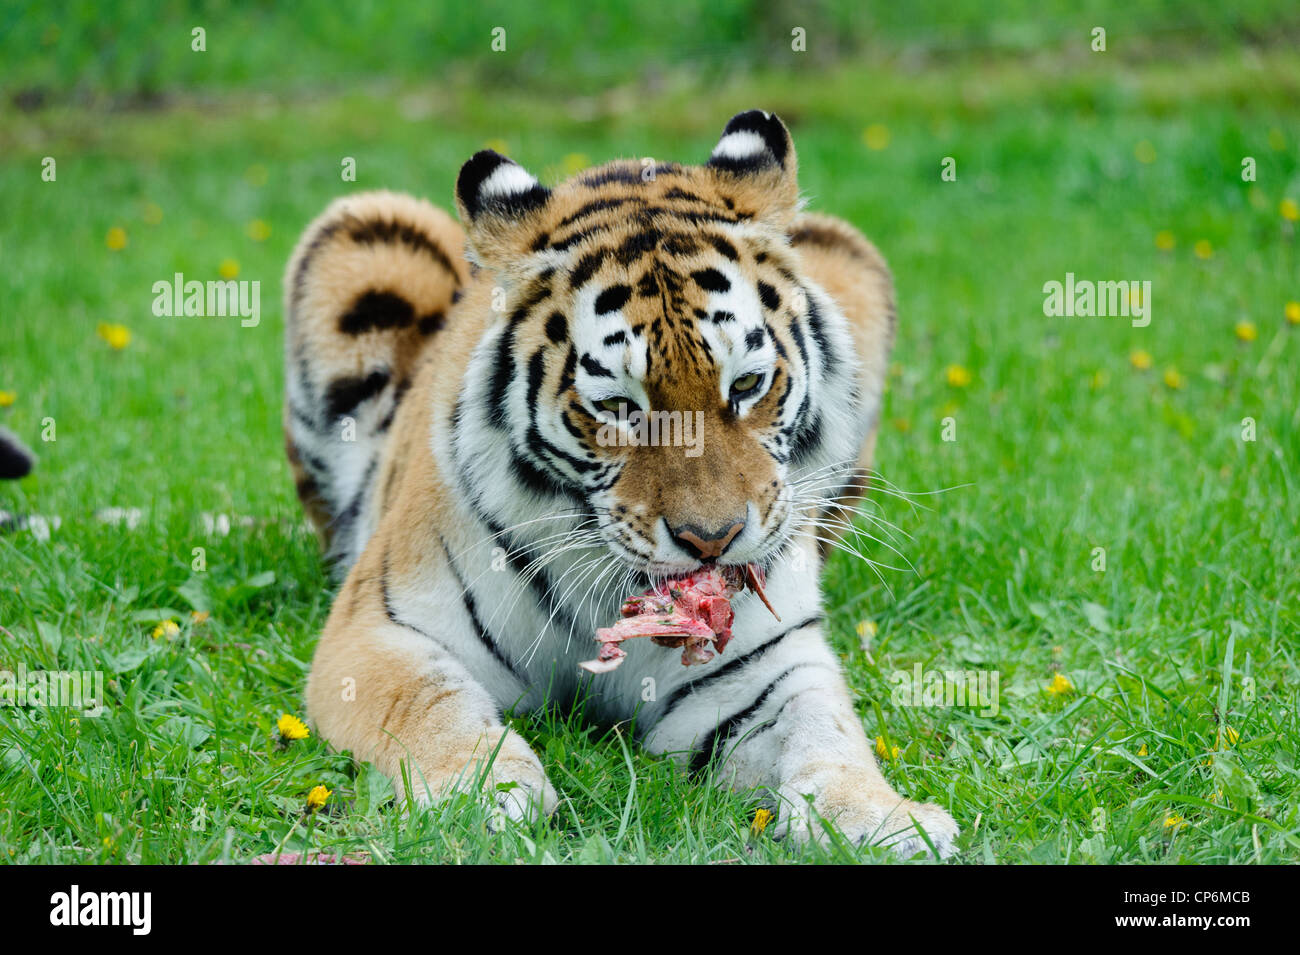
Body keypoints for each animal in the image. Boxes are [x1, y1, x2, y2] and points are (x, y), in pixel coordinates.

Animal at [284, 110, 958, 857]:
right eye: (618, 408)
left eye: (747, 386)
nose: (712, 540)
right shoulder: (379, 630)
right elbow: (431, 705)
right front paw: (483, 792)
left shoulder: (759, 667)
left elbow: (825, 727)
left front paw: (884, 818)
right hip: (366, 230)